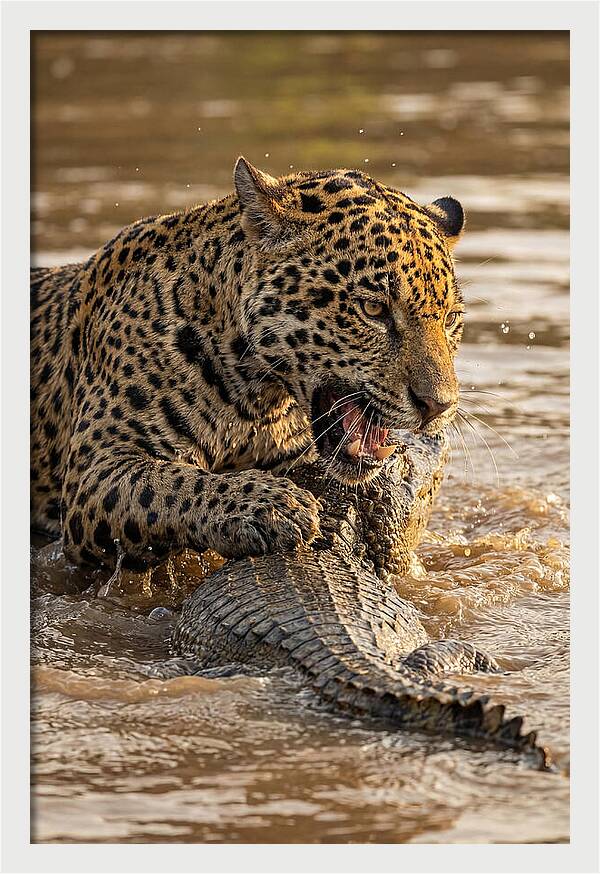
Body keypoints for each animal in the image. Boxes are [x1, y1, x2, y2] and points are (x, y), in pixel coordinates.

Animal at [30, 157, 466, 571]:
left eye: (450, 319)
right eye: (373, 309)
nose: (438, 406)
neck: (256, 398)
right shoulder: (96, 470)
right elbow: (168, 483)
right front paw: (271, 506)